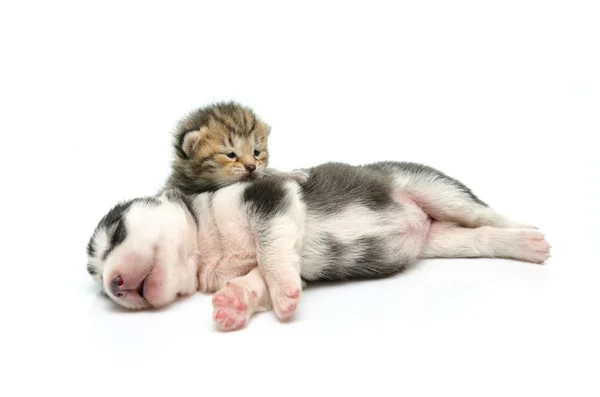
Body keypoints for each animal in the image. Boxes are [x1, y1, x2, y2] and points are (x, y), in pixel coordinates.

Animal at [86, 159, 552, 330]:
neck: (207, 245)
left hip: (435, 188)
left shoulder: (270, 197)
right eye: (99, 284)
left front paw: (283, 294)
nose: (114, 286)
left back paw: (529, 235)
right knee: (476, 238)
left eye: (117, 233)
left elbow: (271, 253)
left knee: (488, 216)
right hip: (442, 240)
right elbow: (258, 279)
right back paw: (521, 245)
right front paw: (237, 302)